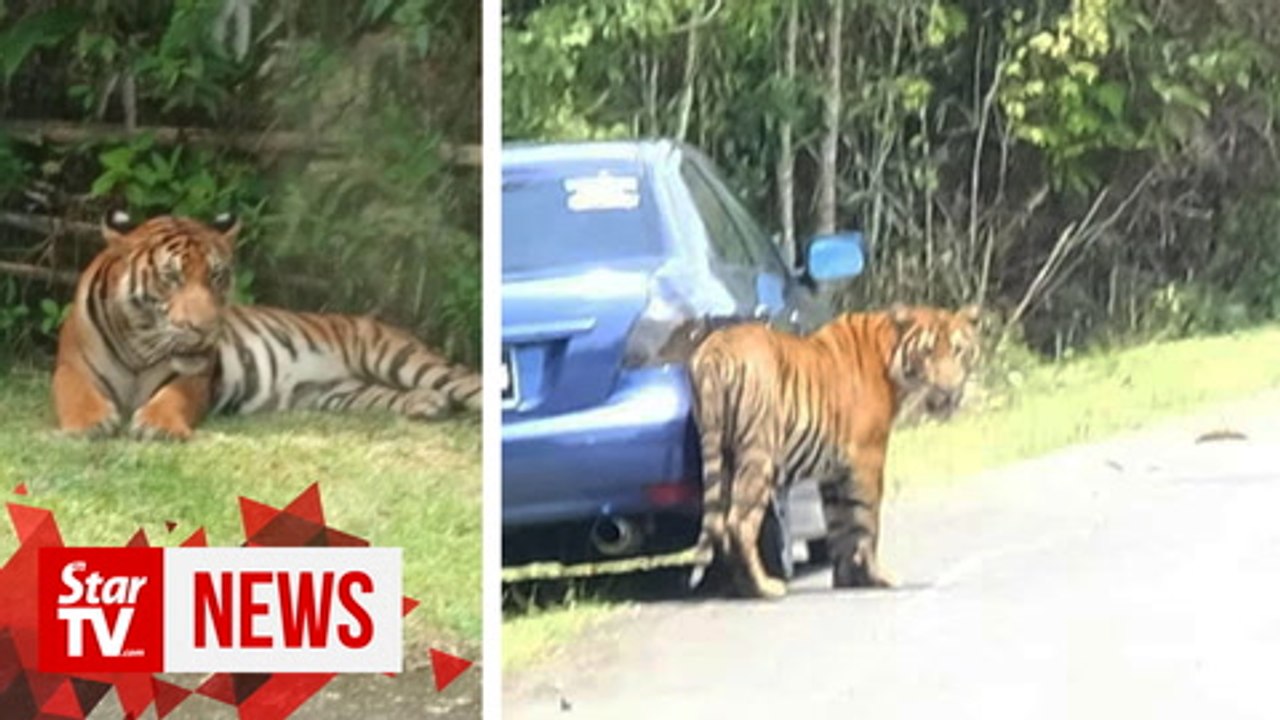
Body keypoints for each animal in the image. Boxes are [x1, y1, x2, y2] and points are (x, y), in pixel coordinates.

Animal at [52, 211, 481, 440]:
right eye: (171, 277)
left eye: (217, 277)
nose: (206, 329)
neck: (139, 344)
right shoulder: (70, 366)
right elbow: (75, 393)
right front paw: (89, 424)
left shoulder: (196, 376)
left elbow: (172, 397)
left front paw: (159, 427)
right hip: (342, 393)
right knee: (387, 395)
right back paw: (426, 404)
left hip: (398, 358)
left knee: (469, 383)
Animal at [689, 304, 981, 599]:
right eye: (927, 352)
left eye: (957, 350)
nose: (947, 391)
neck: (891, 357)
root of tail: (715, 348)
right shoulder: (867, 458)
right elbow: (866, 523)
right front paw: (877, 576)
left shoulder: (834, 471)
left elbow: (839, 526)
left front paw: (846, 579)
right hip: (758, 455)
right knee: (739, 523)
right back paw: (763, 587)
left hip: (723, 456)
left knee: (720, 525)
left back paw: (737, 586)